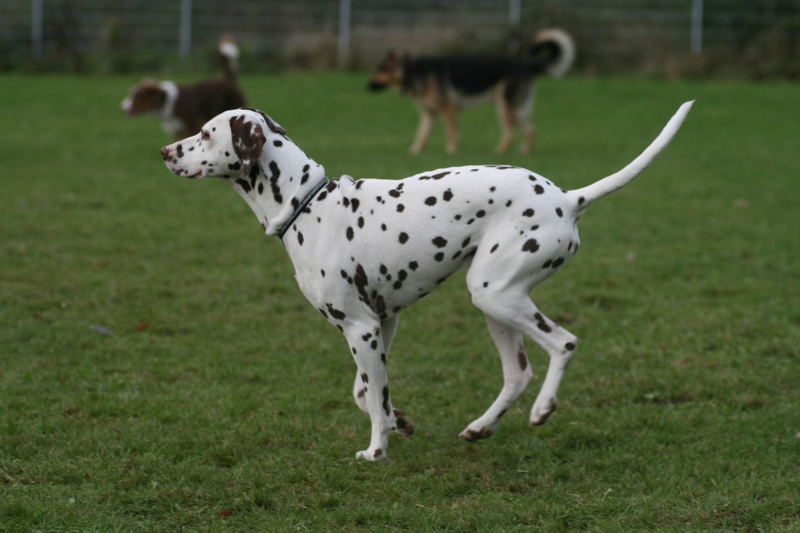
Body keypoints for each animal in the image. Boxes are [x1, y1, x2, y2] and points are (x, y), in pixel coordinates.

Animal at [158, 102, 692, 460]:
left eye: (204, 133)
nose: (164, 151)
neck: (308, 205)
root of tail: (566, 197)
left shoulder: (361, 329)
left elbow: (372, 400)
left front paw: (376, 450)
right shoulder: (382, 324)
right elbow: (368, 393)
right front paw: (400, 422)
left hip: (497, 296)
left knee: (564, 343)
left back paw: (543, 409)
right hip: (494, 303)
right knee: (517, 373)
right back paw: (481, 428)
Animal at [368, 28, 576, 154]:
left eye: (379, 70)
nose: (367, 87)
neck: (413, 71)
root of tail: (525, 65)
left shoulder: (448, 110)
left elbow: (451, 132)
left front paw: (451, 151)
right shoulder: (429, 114)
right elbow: (421, 135)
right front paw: (414, 152)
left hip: (503, 106)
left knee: (510, 134)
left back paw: (499, 152)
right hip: (517, 110)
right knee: (531, 130)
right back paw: (523, 152)